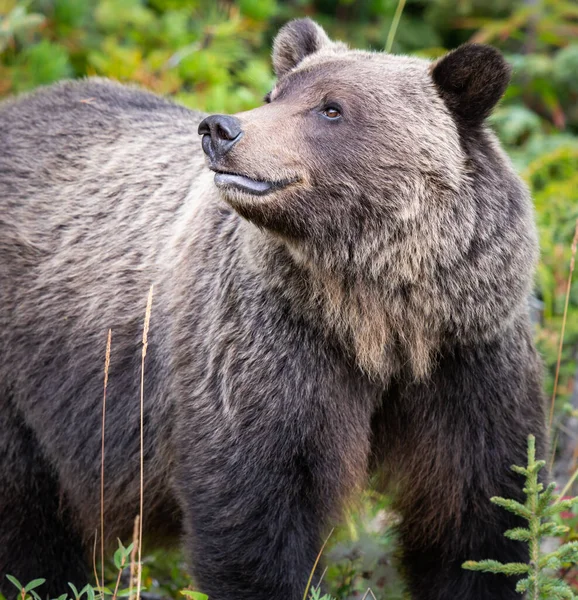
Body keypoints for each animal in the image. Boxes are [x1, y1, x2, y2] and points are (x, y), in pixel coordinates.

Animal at [0, 16, 544, 600]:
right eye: (274, 95)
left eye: (331, 108)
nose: (219, 129)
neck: (378, 321)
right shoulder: (266, 348)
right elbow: (256, 513)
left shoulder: (467, 359)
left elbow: (475, 515)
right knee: (28, 519)